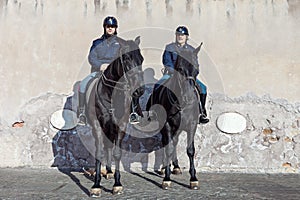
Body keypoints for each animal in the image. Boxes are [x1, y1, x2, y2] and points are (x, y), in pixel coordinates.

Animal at [85, 36, 145, 197]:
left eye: (141, 59)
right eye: (126, 59)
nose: (139, 90)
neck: (110, 93)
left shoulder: (120, 126)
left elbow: (117, 153)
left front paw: (117, 185)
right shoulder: (97, 125)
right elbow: (99, 152)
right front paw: (96, 185)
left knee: (109, 147)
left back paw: (110, 172)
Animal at [146, 44, 202, 190]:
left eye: (197, 69)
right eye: (180, 69)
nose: (189, 97)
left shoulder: (192, 125)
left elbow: (190, 150)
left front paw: (193, 179)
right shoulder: (167, 125)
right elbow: (168, 148)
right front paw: (166, 178)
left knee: (175, 142)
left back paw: (175, 167)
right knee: (167, 144)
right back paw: (165, 167)